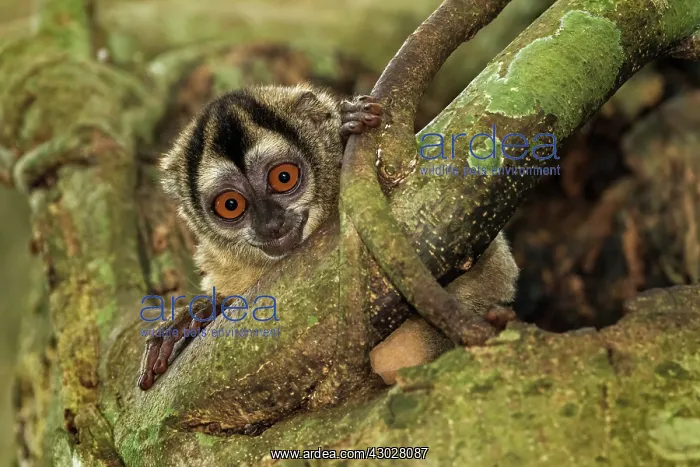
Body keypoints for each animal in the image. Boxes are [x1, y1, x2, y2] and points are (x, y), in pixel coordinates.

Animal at [137, 82, 519, 390]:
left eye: (283, 178)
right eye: (230, 205)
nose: (270, 224)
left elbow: (487, 265)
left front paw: (346, 128)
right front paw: (194, 318)